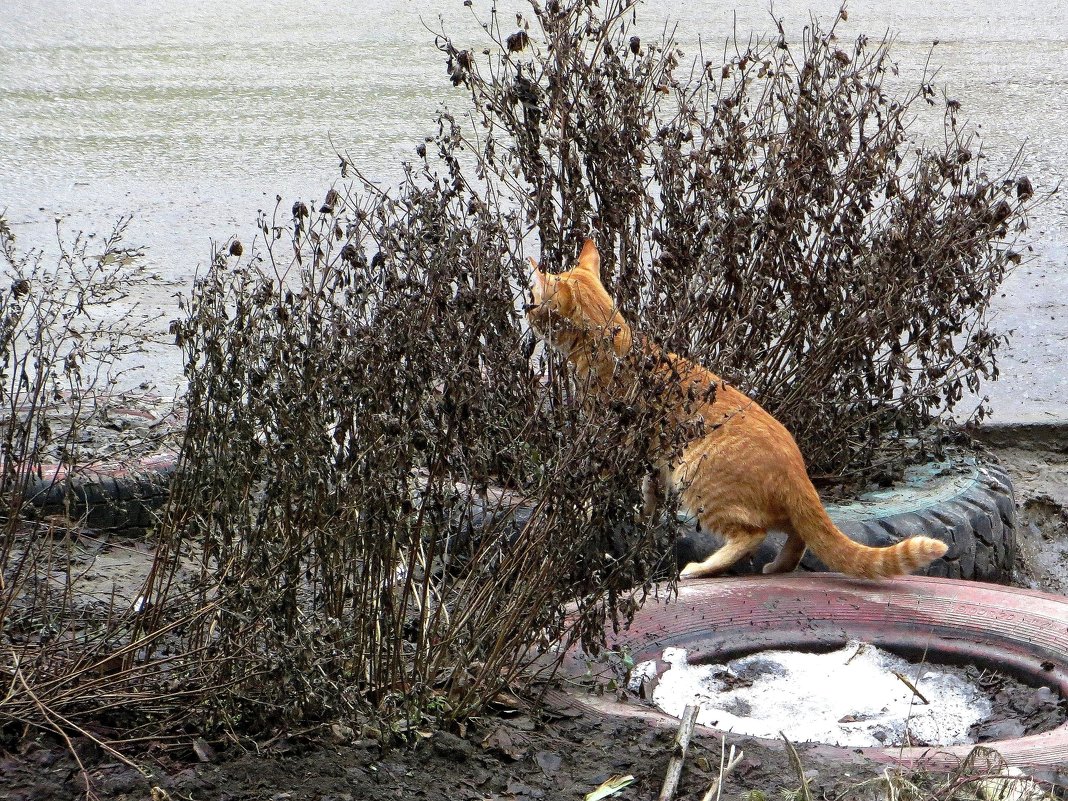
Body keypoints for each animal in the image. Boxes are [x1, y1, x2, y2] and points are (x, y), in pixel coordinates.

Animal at [525, 234, 952, 580]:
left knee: (753, 534)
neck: (614, 345)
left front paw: (583, 512)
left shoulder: (614, 444)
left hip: (696, 478)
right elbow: (648, 492)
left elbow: (596, 488)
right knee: (797, 535)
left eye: (533, 301)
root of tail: (800, 473)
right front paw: (640, 515)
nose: (525, 311)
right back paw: (779, 566)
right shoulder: (652, 457)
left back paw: (700, 569)